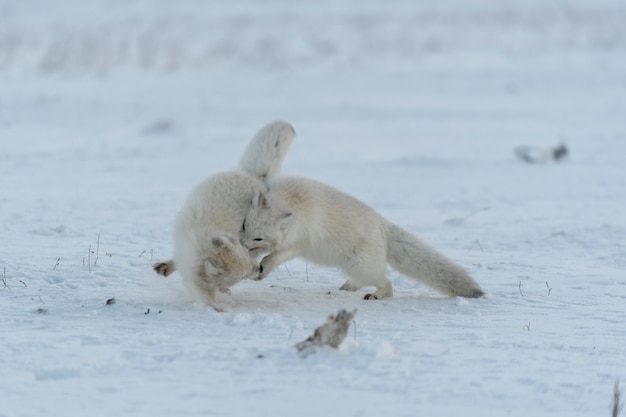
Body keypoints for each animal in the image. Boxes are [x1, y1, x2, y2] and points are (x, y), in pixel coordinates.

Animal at [153, 118, 294, 308]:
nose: (259, 269)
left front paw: (219, 305)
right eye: (241, 276)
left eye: (246, 264)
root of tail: (254, 177)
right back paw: (165, 267)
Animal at [240, 175, 482, 300]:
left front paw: (262, 269)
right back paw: (350, 286)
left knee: (386, 283)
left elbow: (274, 258)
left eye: (259, 238)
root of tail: (382, 224)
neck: (290, 198)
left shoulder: (299, 242)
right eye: (243, 226)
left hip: (360, 266)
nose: (241, 244)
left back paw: (377, 295)